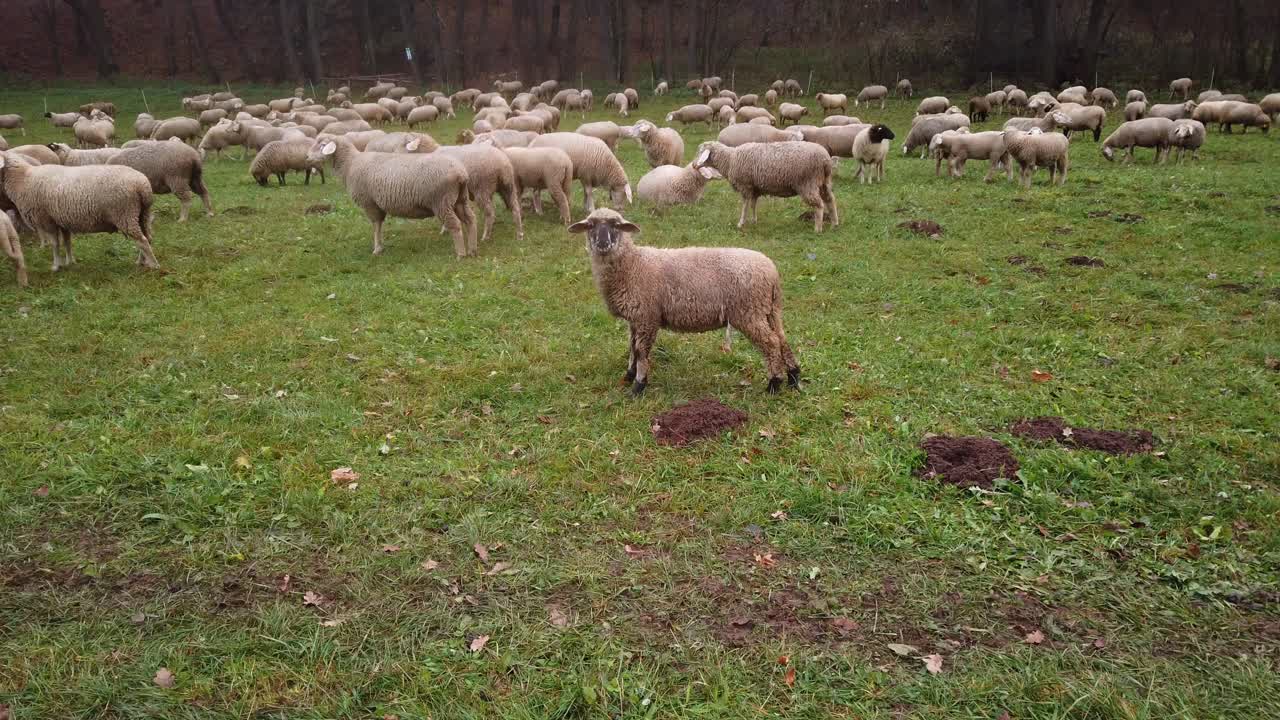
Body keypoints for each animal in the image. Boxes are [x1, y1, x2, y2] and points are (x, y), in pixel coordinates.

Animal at [0, 151, 158, 271]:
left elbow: (55, 244)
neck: (23, 179)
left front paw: (56, 266)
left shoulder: (47, 220)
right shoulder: (62, 220)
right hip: (141, 214)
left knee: (142, 241)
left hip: (124, 214)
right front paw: (70, 262)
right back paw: (141, 261)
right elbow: (67, 242)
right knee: (147, 237)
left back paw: (153, 265)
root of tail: (142, 185)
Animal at [309, 134, 475, 257]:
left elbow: (376, 225)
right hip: (460, 199)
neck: (350, 164)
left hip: (441, 201)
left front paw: (377, 249)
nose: (307, 157)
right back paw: (473, 250)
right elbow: (380, 225)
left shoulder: (370, 203)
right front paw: (381, 246)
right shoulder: (377, 204)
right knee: (470, 219)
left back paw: (461, 254)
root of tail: (461, 174)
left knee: (455, 224)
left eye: (321, 145)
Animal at [570, 207, 799, 395]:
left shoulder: (647, 316)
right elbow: (632, 348)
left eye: (616, 225)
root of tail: (771, 271)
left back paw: (774, 384)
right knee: (781, 338)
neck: (632, 264)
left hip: (749, 312)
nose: (602, 243)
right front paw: (629, 375)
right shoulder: (635, 318)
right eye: (590, 225)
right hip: (768, 310)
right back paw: (794, 378)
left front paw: (638, 385)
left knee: (771, 343)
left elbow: (641, 351)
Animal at [693, 140, 836, 232]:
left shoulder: (745, 186)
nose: (694, 165)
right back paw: (835, 223)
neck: (729, 159)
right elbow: (753, 205)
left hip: (807, 183)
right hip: (824, 182)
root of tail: (825, 160)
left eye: (700, 152)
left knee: (819, 205)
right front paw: (754, 220)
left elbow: (745, 206)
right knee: (830, 200)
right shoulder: (754, 188)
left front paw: (741, 223)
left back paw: (818, 228)